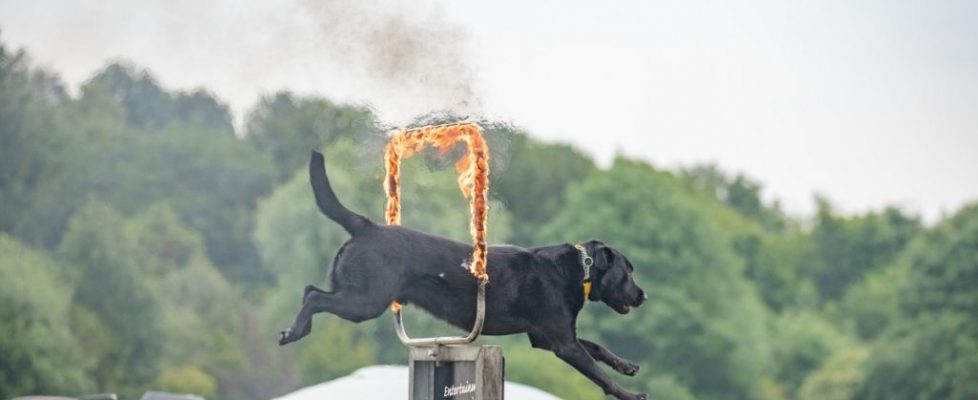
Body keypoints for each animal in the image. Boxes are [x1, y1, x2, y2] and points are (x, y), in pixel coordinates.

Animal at [278, 151, 648, 400]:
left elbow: (598, 348)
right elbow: (598, 373)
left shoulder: (545, 337)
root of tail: (366, 227)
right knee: (313, 296)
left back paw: (297, 329)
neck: (576, 269)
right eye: (628, 272)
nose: (643, 295)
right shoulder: (563, 343)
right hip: (365, 301)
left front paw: (627, 365)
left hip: (359, 298)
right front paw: (630, 394)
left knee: (310, 291)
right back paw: (293, 332)